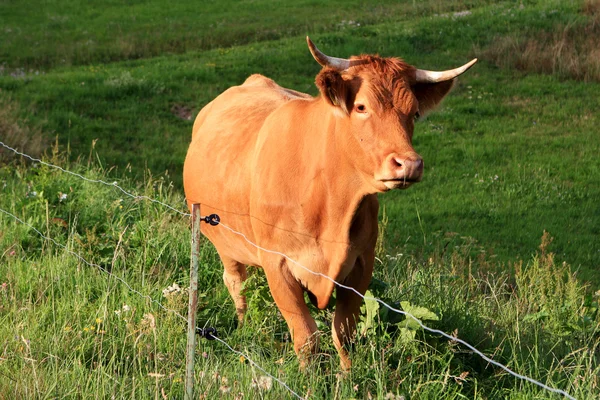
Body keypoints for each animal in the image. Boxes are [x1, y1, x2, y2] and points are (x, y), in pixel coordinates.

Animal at [183, 37, 474, 368]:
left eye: (414, 113)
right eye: (361, 106)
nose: (409, 164)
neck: (329, 205)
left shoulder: (361, 265)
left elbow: (344, 334)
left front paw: (347, 375)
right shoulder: (277, 263)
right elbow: (306, 336)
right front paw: (309, 376)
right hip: (222, 239)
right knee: (236, 282)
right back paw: (244, 327)